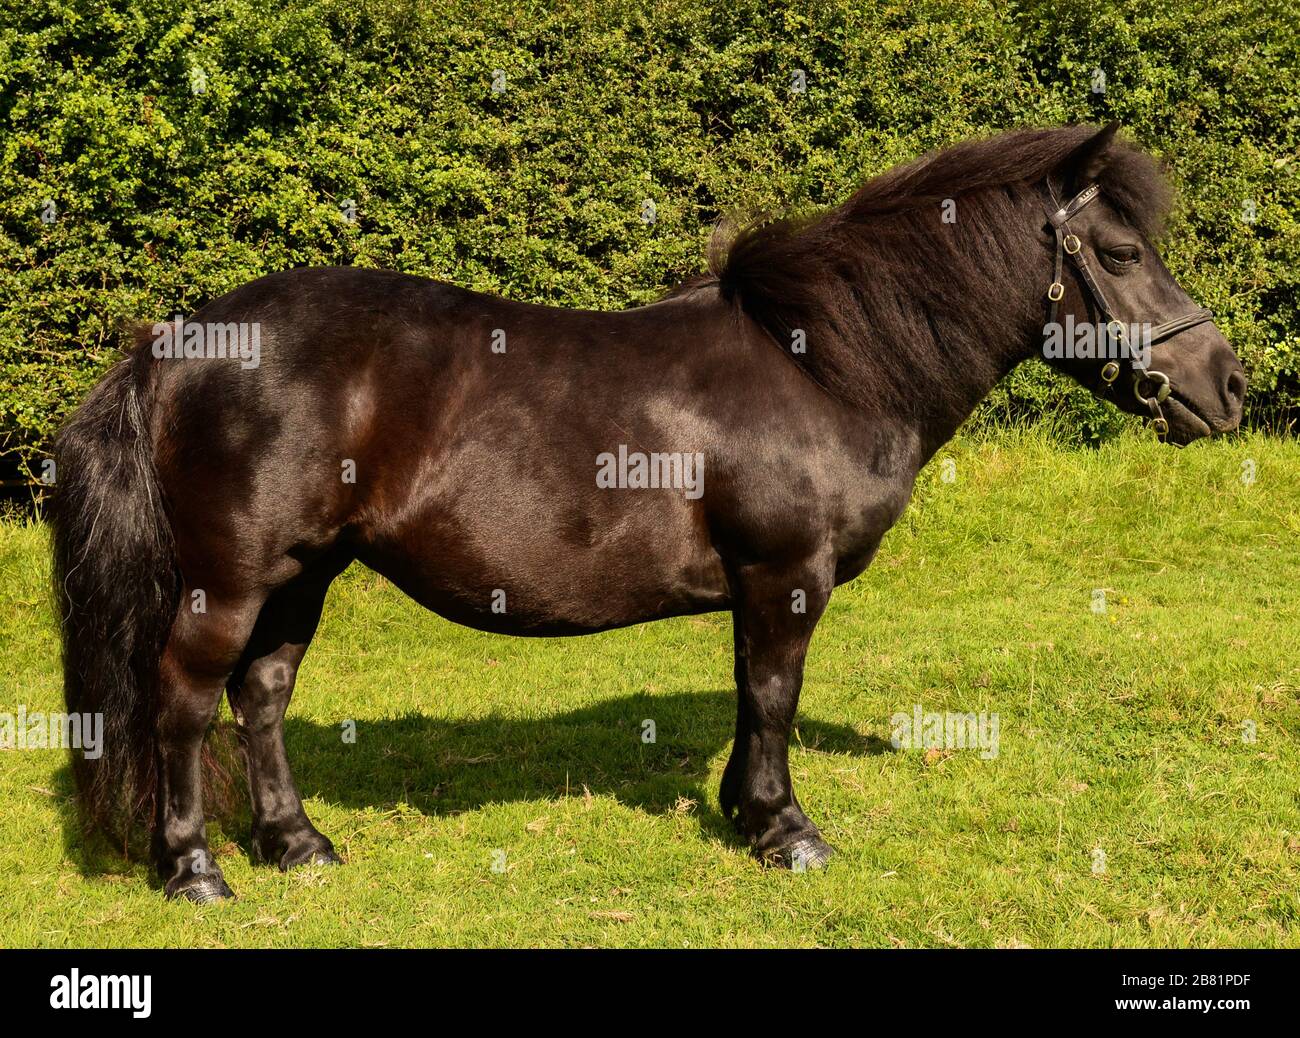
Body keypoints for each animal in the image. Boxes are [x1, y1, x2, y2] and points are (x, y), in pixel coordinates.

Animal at [50, 124, 1242, 900]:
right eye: (1121, 253)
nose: (1227, 386)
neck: (819, 365)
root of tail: (176, 341)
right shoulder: (786, 576)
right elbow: (773, 695)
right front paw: (786, 833)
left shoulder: (758, 587)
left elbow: (751, 697)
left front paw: (741, 810)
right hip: (230, 581)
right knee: (182, 703)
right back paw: (195, 871)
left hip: (302, 574)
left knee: (261, 696)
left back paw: (299, 848)